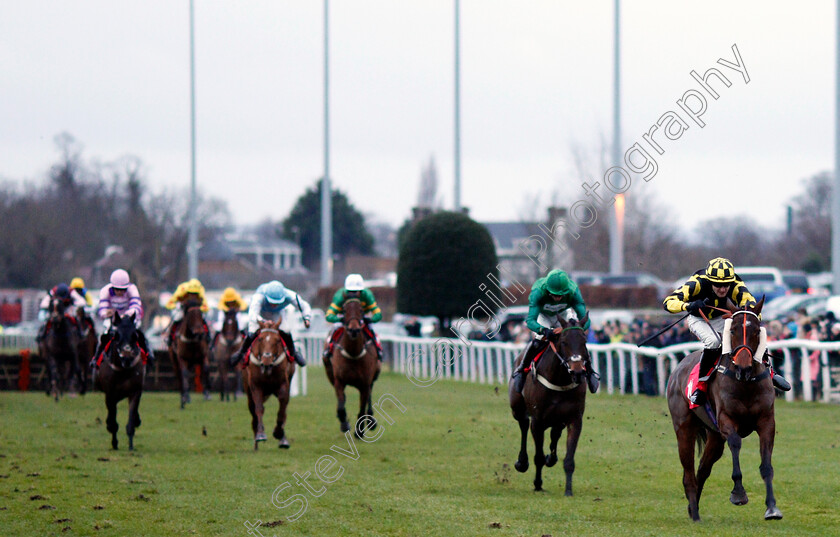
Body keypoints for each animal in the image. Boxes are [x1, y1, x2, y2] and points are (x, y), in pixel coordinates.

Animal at [94, 312, 145, 450]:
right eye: (115, 335)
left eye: (135, 335)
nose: (127, 358)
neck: (123, 371)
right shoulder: (110, 394)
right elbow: (112, 422)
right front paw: (114, 442)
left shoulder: (135, 392)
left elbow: (131, 420)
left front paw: (131, 445)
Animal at [243, 318, 296, 448]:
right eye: (260, 339)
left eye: (277, 340)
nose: (266, 359)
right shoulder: (256, 386)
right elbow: (259, 408)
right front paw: (261, 434)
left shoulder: (283, 385)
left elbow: (282, 410)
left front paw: (279, 434)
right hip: (249, 393)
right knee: (253, 414)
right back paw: (256, 443)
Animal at [324, 296, 380, 438]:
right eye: (344, 310)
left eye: (361, 309)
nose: (354, 330)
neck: (353, 353)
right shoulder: (339, 380)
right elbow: (341, 404)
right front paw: (344, 423)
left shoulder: (365, 383)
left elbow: (362, 407)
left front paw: (359, 432)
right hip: (330, 373)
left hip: (374, 375)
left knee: (369, 396)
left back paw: (371, 421)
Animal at [506, 314, 592, 494]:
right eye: (564, 342)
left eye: (584, 341)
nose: (578, 372)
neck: (560, 379)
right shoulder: (537, 421)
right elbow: (538, 456)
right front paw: (538, 483)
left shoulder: (574, 419)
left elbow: (569, 459)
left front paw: (568, 491)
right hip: (517, 409)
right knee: (523, 425)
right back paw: (522, 462)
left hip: (557, 419)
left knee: (555, 433)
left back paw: (551, 458)